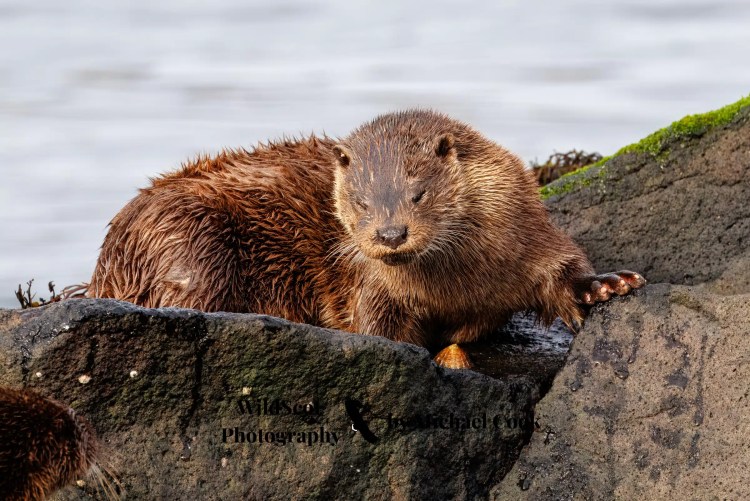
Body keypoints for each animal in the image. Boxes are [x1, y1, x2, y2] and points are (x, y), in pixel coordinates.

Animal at [87, 110, 644, 368]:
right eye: (360, 202)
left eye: (418, 193)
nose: (390, 233)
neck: (457, 287)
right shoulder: (371, 286)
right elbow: (376, 325)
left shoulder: (527, 232)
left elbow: (560, 266)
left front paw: (605, 284)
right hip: (187, 237)